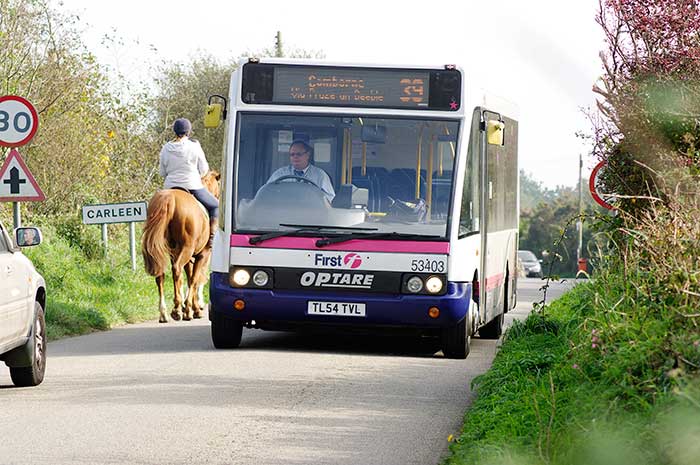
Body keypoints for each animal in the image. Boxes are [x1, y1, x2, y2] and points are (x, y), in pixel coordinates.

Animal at [141, 171, 220, 322]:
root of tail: (169, 198)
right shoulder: (202, 255)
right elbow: (194, 279)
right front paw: (192, 309)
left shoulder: (186, 256)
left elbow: (188, 278)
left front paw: (192, 307)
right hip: (187, 250)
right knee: (177, 269)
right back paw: (177, 309)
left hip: (165, 250)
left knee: (162, 275)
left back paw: (164, 313)